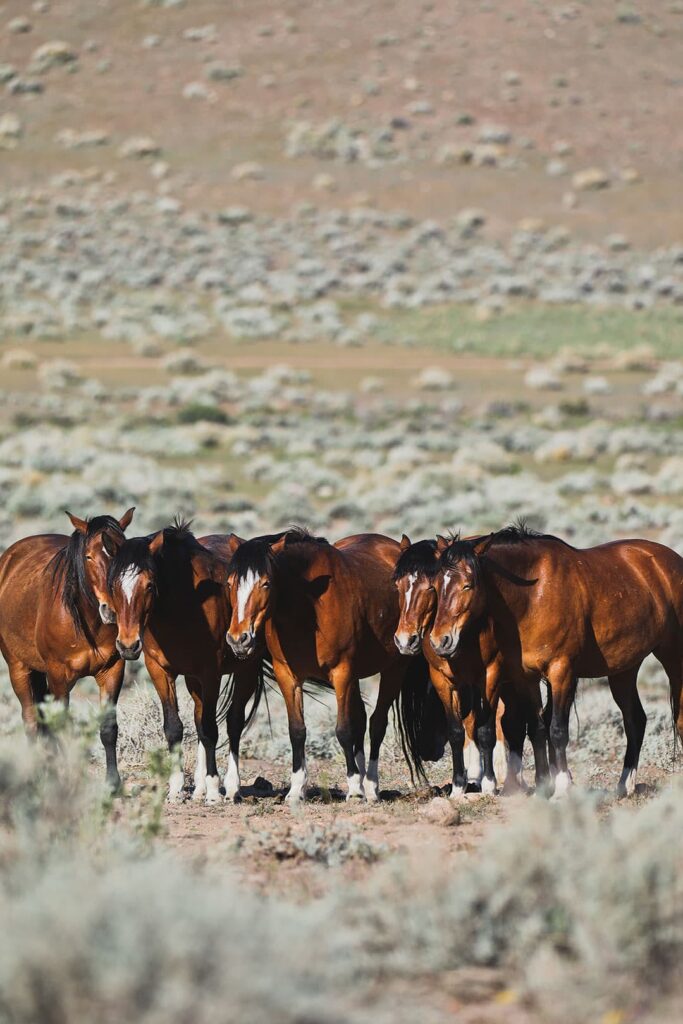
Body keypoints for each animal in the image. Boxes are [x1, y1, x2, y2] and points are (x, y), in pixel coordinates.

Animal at [0, 507, 136, 786]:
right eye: (89, 556)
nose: (112, 610)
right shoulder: (59, 676)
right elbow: (59, 727)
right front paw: (65, 777)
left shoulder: (113, 671)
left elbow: (108, 727)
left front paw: (113, 783)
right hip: (19, 668)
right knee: (31, 721)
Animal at [224, 532, 438, 802]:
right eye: (229, 583)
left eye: (266, 583)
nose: (238, 639)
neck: (308, 608)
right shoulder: (288, 676)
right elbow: (297, 731)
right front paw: (296, 790)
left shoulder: (341, 672)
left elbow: (343, 730)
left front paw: (355, 789)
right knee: (361, 720)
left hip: (393, 669)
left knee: (377, 724)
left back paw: (370, 786)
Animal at [432, 524, 683, 794]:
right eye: (436, 585)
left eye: (467, 585)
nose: (440, 640)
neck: (533, 595)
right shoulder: (526, 678)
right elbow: (537, 727)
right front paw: (544, 786)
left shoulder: (561, 671)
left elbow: (558, 730)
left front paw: (562, 787)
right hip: (624, 670)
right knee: (635, 719)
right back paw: (624, 785)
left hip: (673, 658)